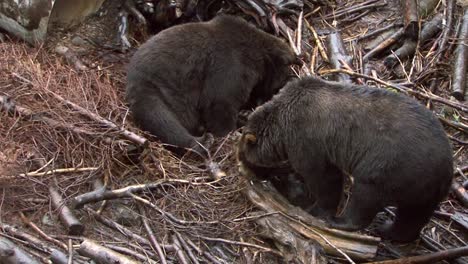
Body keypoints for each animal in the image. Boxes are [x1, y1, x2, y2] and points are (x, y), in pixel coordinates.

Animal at [126, 13, 298, 155]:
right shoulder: (229, 66)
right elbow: (219, 103)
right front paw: (230, 133)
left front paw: (244, 115)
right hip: (157, 89)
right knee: (161, 119)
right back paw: (203, 142)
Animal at [238, 76, 454, 241]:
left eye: (245, 157)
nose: (247, 171)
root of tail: (446, 169)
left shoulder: (308, 141)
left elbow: (324, 178)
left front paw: (316, 209)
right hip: (421, 187)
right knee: (413, 214)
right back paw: (391, 230)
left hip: (390, 167)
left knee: (365, 197)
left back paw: (343, 221)